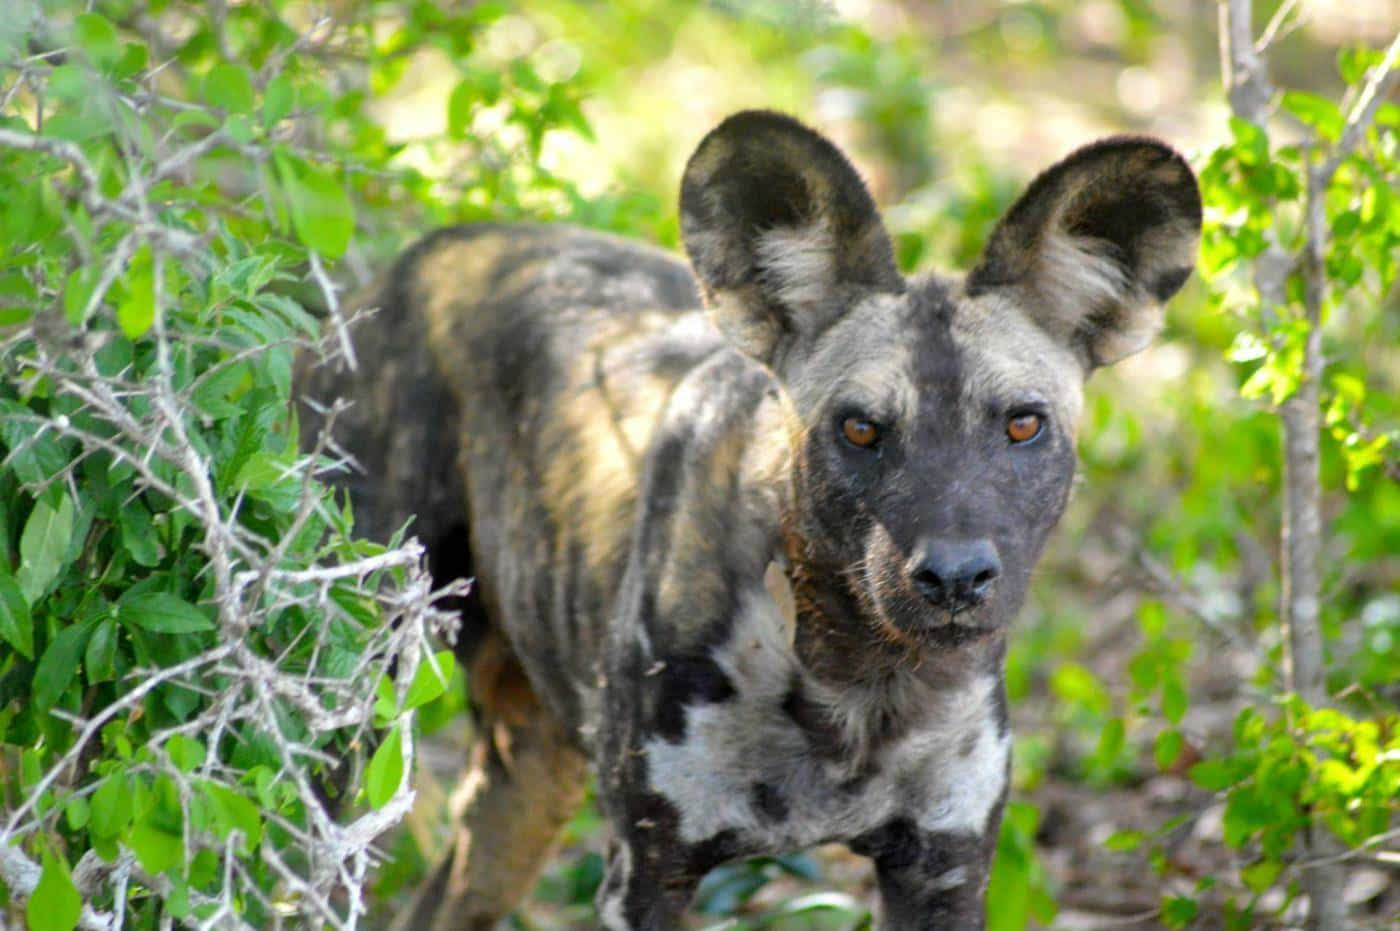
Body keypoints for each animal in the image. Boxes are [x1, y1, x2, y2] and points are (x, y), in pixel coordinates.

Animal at [301, 110, 1198, 929]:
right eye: (860, 428)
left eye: (1021, 424)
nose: (953, 576)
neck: (860, 696)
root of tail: (426, 254)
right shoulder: (648, 876)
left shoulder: (945, 869)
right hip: (344, 735)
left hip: (529, 784)